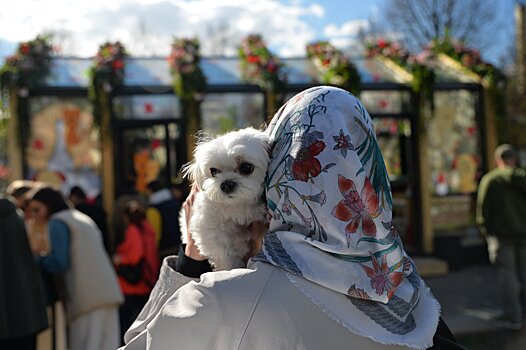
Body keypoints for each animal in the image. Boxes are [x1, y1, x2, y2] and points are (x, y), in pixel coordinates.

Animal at [183, 127, 272, 270]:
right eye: (213, 171)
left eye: (247, 167)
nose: (226, 184)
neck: (237, 204)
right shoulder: (207, 224)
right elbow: (223, 251)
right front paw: (230, 267)